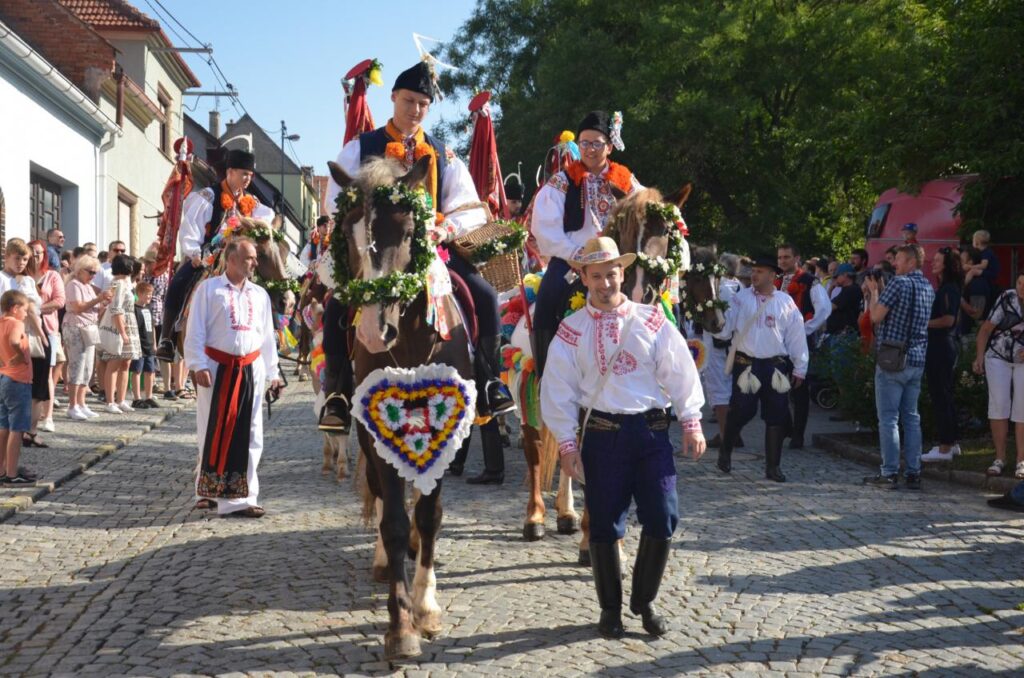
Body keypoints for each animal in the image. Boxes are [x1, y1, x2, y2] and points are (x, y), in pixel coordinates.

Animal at [325, 156, 473, 659]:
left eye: (410, 232)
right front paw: (401, 625)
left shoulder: (449, 428)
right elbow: (390, 518)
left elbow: (429, 516)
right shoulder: (374, 432)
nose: (374, 331)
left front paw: (426, 606)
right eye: (345, 234)